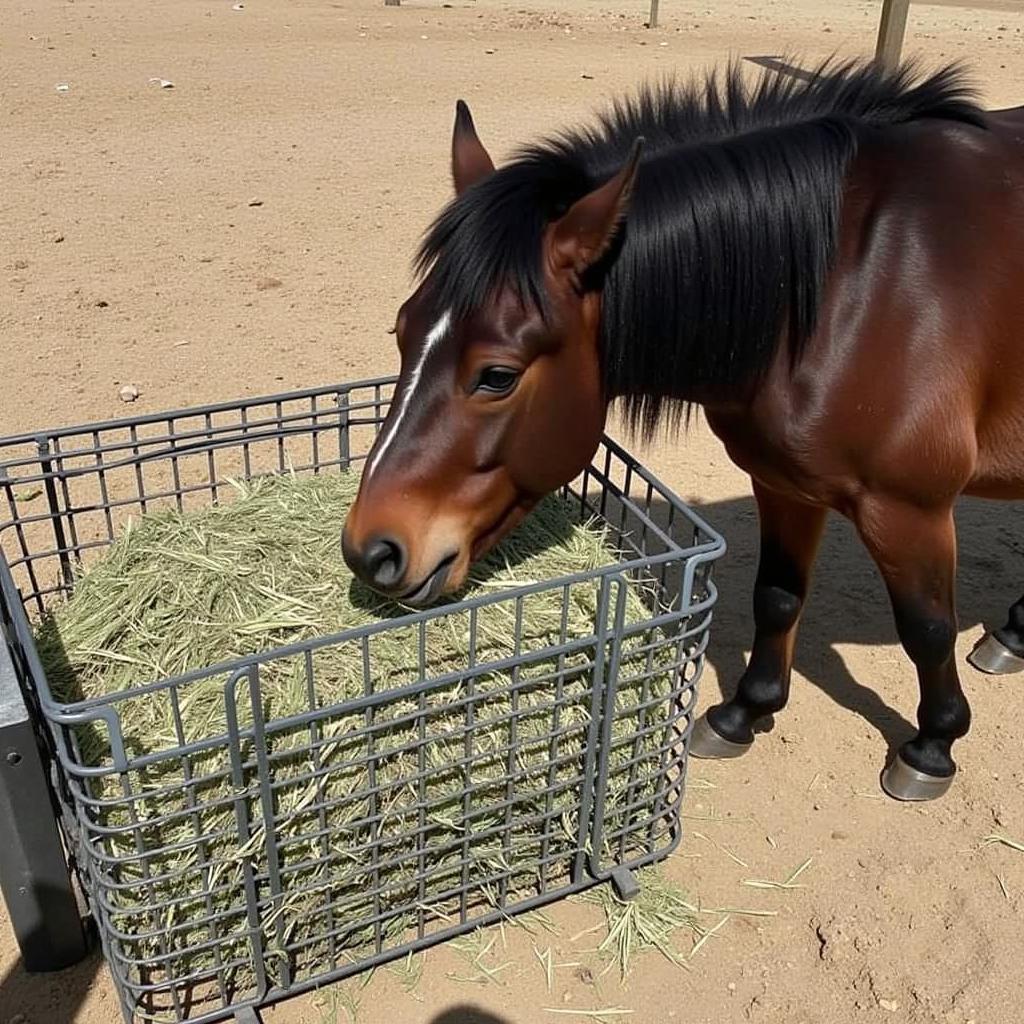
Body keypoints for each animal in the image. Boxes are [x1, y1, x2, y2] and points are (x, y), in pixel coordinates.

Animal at [342, 59, 1024, 802]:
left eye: (496, 375)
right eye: (401, 331)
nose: (370, 550)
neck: (853, 286)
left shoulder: (909, 509)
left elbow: (926, 628)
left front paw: (932, 746)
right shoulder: (784, 482)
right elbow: (777, 596)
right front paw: (744, 713)